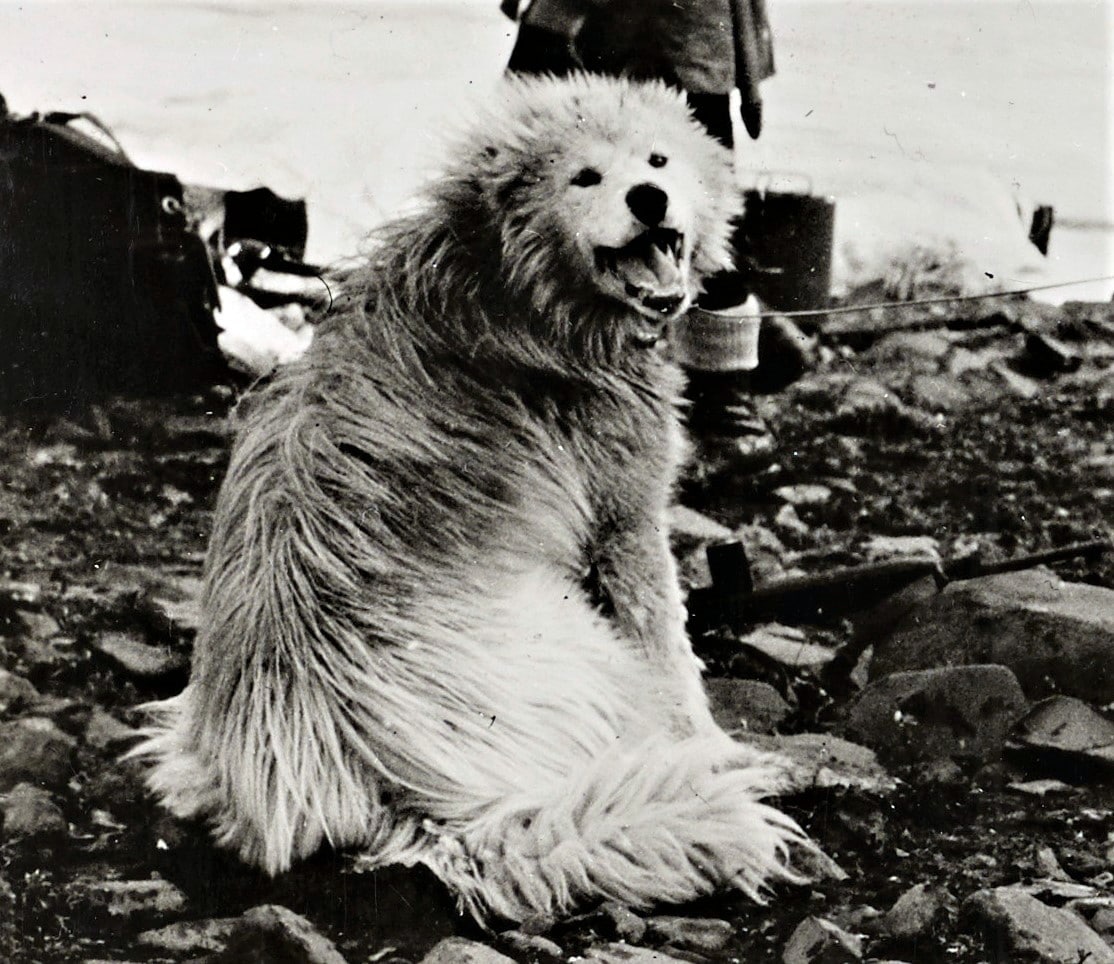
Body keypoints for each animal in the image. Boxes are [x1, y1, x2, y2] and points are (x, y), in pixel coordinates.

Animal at [137, 73, 810, 918]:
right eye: (584, 178)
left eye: (657, 159)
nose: (651, 197)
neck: (507, 284)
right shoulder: (626, 521)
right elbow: (675, 656)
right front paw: (714, 745)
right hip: (576, 636)